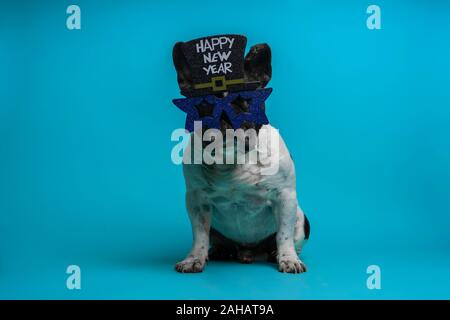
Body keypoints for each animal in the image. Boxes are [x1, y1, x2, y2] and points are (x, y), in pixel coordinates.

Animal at [172, 35, 310, 272]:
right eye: (203, 106)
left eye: (245, 102)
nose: (224, 119)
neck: (231, 161)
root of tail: (248, 252)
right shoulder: (197, 201)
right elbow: (200, 234)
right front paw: (194, 258)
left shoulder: (285, 197)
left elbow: (284, 234)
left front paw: (288, 259)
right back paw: (220, 251)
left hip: (301, 218)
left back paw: (277, 254)